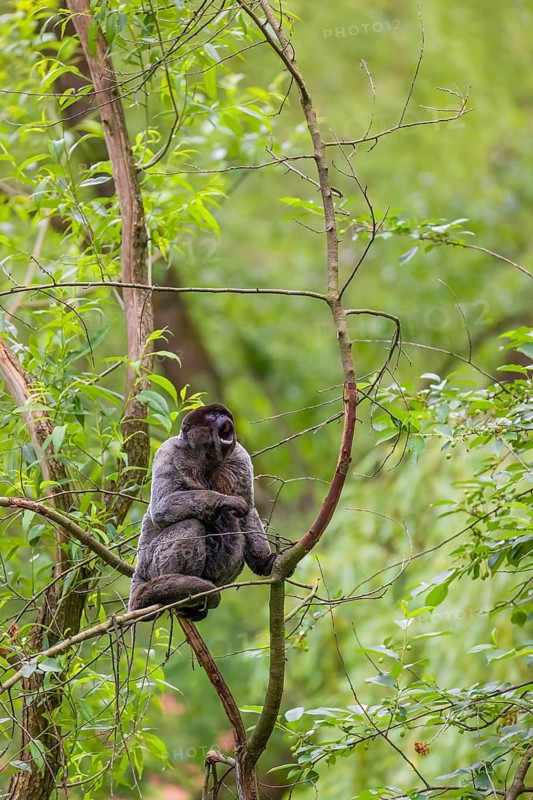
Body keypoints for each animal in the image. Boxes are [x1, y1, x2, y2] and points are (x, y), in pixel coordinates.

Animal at [128, 404, 277, 621]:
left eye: (224, 414)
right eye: (213, 415)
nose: (225, 419)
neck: (206, 460)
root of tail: (139, 573)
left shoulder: (240, 456)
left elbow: (249, 510)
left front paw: (263, 562)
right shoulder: (168, 451)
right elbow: (161, 508)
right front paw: (224, 501)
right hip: (150, 564)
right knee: (191, 524)